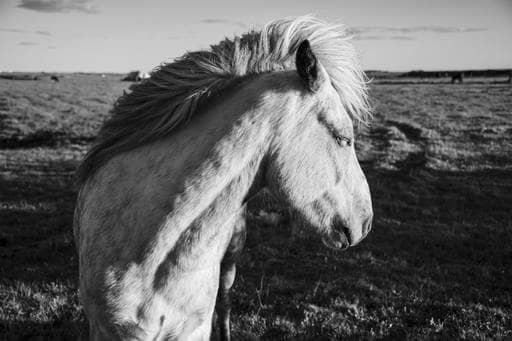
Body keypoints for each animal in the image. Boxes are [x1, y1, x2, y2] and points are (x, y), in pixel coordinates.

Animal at [74, 15, 372, 340]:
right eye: (343, 138)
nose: (366, 222)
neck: (149, 253)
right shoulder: (106, 329)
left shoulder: (193, 330)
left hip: (230, 262)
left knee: (225, 302)